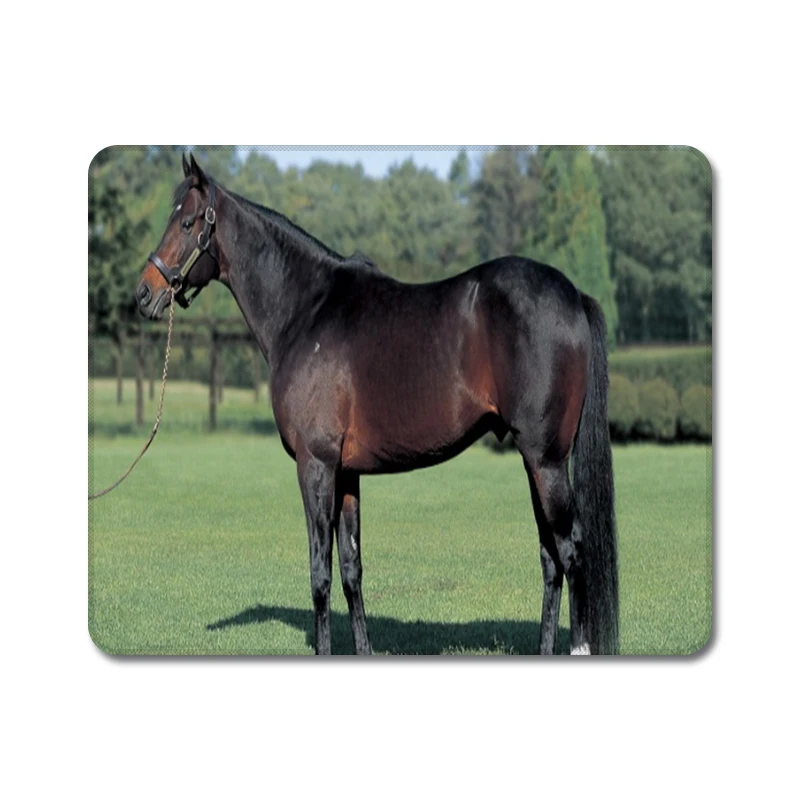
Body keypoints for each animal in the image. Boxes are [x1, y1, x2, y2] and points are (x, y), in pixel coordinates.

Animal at [135, 154, 619, 656]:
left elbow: (321, 574)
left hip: (546, 461)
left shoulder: (315, 465)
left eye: (187, 222)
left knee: (571, 552)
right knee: (550, 559)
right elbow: (352, 569)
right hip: (536, 462)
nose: (144, 293)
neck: (307, 312)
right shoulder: (347, 473)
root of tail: (573, 295)